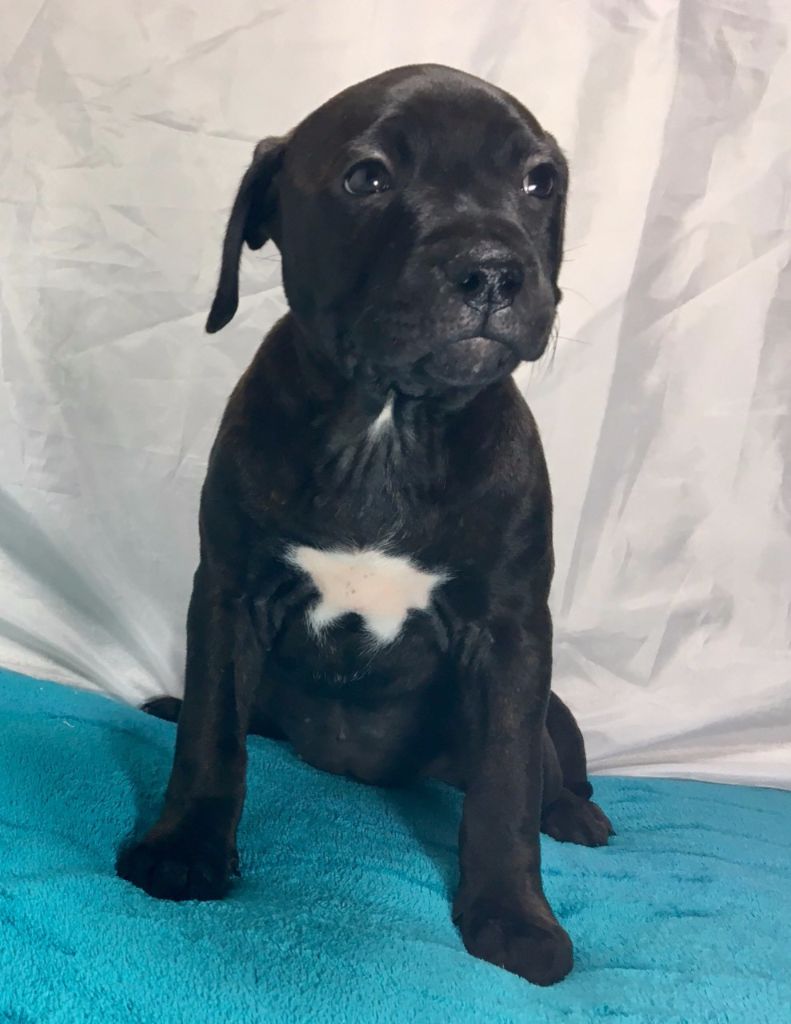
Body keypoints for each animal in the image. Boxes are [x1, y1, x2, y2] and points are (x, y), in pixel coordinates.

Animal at [116, 64, 613, 987]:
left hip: (550, 702)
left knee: (553, 762)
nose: (492, 268)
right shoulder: (232, 595)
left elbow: (506, 782)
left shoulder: (510, 634)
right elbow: (213, 735)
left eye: (539, 183)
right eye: (366, 179)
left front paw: (511, 917)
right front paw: (184, 848)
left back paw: (573, 813)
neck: (391, 422)